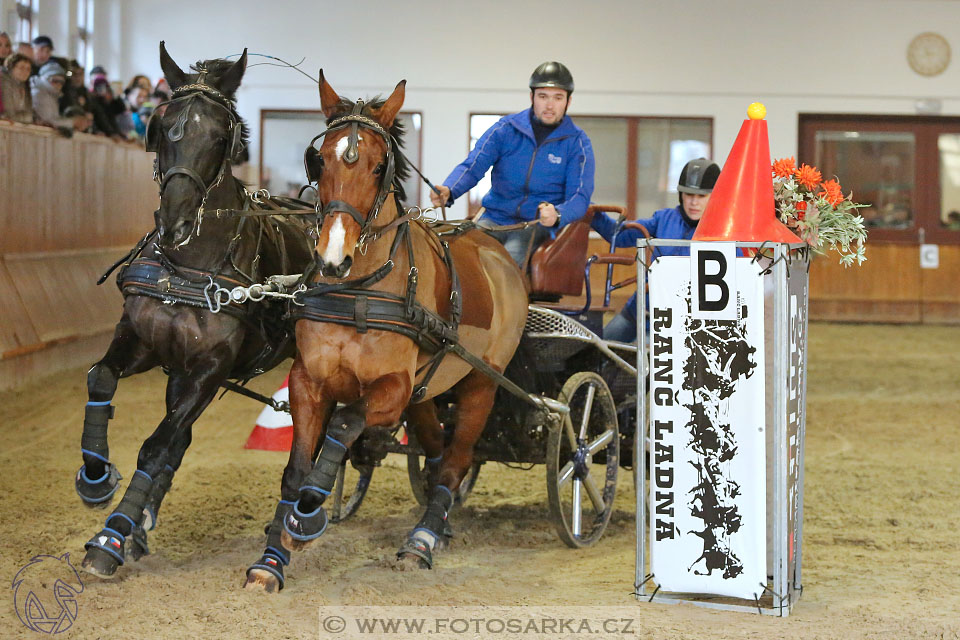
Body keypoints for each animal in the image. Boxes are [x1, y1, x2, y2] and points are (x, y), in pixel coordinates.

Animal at [78, 42, 316, 576]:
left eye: (220, 135)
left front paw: (111, 536)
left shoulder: (209, 368)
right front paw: (97, 479)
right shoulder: (147, 344)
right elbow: (102, 379)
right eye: (163, 126)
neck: (187, 268)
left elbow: (155, 446)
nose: (174, 221)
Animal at [240, 72, 524, 592]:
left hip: (480, 384)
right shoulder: (308, 382)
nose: (333, 257)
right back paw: (438, 525)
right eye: (321, 159)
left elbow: (344, 425)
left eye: (378, 167)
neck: (359, 291)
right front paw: (271, 559)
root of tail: (496, 250)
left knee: (456, 462)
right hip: (429, 392)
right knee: (436, 454)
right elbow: (295, 468)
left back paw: (422, 541)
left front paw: (308, 511)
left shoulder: (392, 388)